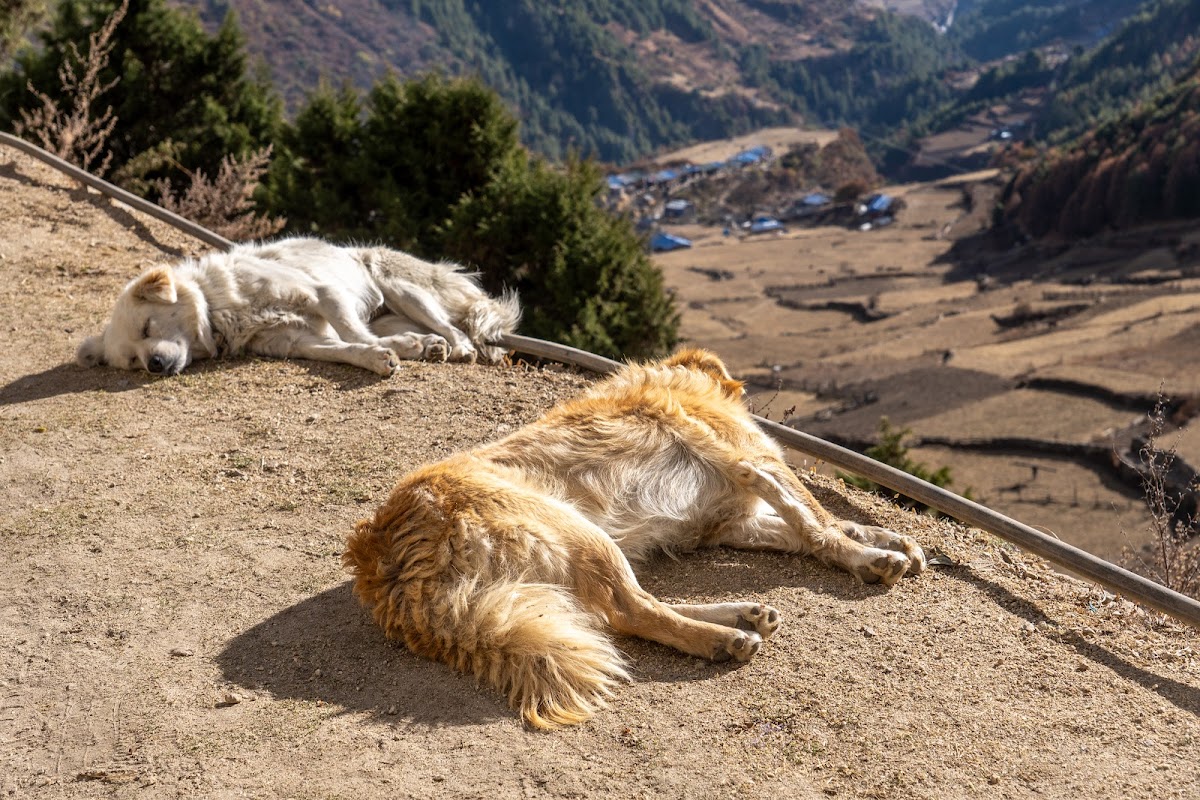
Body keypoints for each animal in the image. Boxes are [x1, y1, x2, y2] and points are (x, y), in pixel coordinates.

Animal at [78, 236, 520, 376]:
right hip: (391, 316)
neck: (218, 310)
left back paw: (457, 347)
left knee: (453, 326)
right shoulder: (298, 342)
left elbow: (351, 334)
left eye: (147, 328)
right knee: (408, 333)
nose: (153, 365)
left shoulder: (322, 293)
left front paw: (382, 356)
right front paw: (377, 359)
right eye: (133, 361)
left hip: (402, 290)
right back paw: (420, 346)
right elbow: (345, 349)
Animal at [343, 347, 921, 729]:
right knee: (629, 610)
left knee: (626, 607)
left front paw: (894, 541)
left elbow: (811, 526)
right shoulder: (754, 463)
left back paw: (742, 615)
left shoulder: (730, 522)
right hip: (583, 534)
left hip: (582, 552)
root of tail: (379, 562)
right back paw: (724, 639)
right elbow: (816, 520)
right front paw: (870, 558)